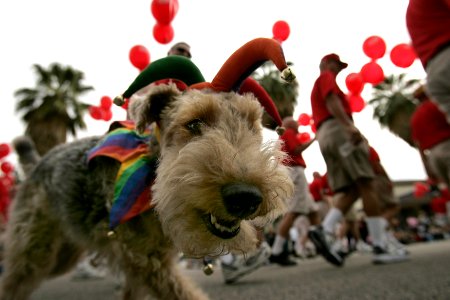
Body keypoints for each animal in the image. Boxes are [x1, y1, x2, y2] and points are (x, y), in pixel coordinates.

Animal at [0, 38, 296, 298]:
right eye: (193, 123)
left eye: (252, 124)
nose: (246, 197)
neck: (152, 180)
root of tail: (39, 163)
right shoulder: (148, 261)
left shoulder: (143, 264)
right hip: (36, 251)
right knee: (13, 281)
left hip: (64, 253)